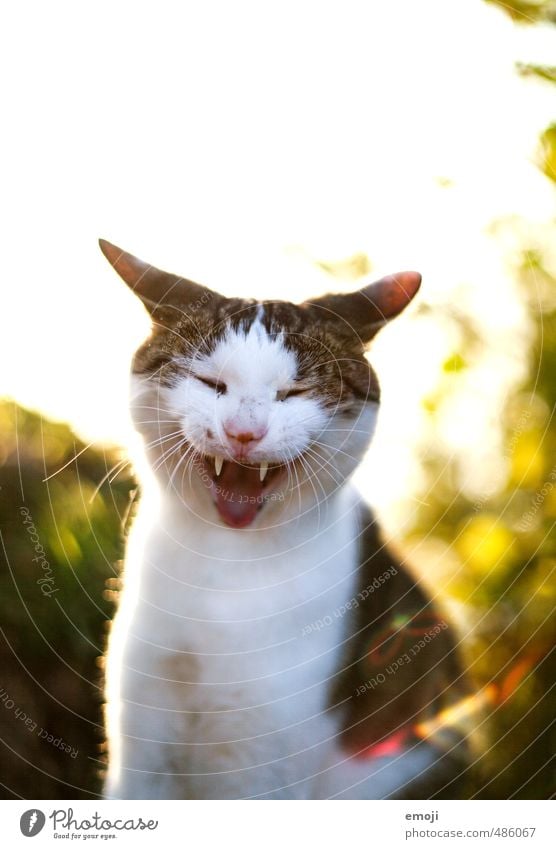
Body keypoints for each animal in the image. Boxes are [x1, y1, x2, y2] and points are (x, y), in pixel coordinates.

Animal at [97, 237, 466, 796]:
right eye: (210, 383)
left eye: (295, 393)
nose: (243, 432)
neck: (222, 564)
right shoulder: (142, 734)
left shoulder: (263, 757)